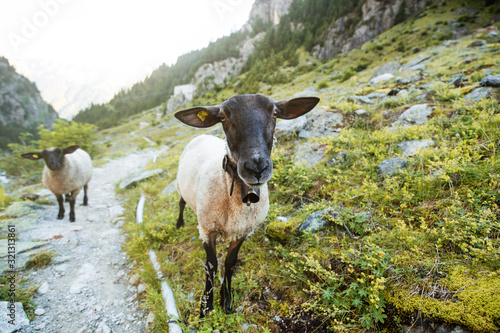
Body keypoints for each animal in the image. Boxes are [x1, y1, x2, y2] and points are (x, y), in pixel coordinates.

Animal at [174, 92, 318, 316]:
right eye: (222, 117)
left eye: (275, 113)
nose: (256, 167)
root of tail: (202, 135)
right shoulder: (207, 229)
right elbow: (211, 265)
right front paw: (206, 306)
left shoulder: (244, 230)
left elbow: (230, 263)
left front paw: (226, 300)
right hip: (181, 186)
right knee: (181, 203)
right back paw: (179, 223)